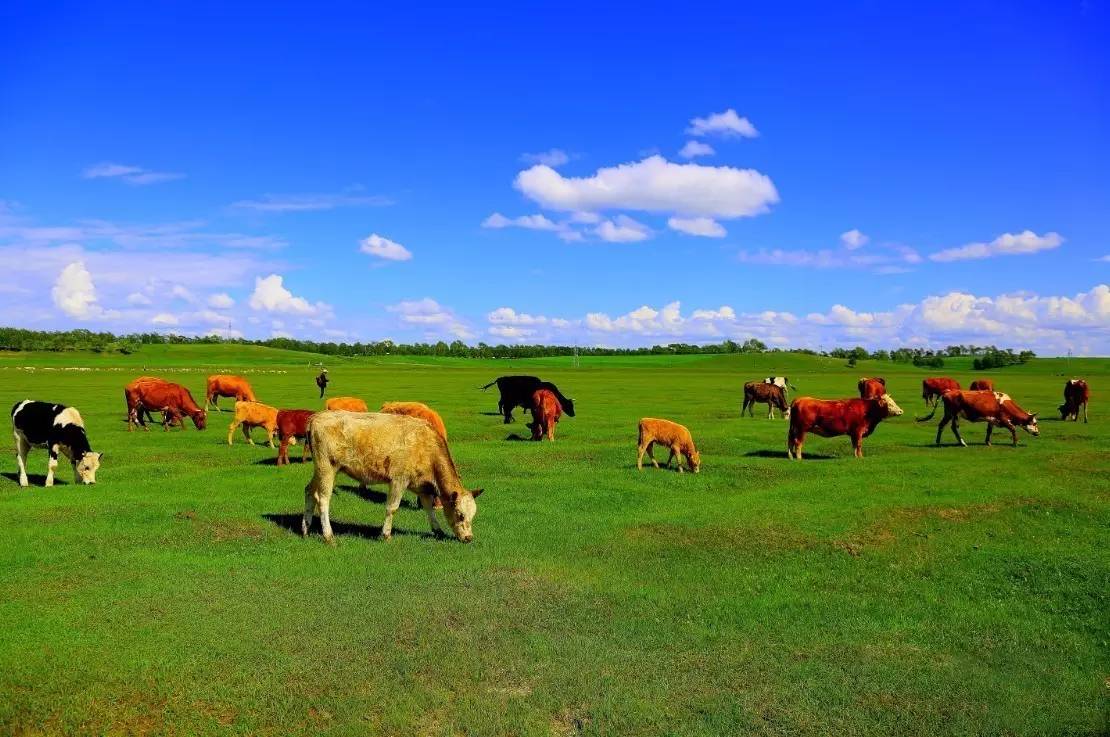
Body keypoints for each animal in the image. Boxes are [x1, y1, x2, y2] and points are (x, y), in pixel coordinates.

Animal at [304, 410, 481, 543]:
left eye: (473, 515)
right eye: (460, 515)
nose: (469, 538)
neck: (427, 448)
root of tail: (316, 417)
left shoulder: (422, 487)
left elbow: (429, 509)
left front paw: (438, 531)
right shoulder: (399, 480)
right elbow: (392, 508)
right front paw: (385, 534)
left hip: (319, 470)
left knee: (309, 491)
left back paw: (306, 528)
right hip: (327, 467)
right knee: (323, 499)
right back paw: (328, 535)